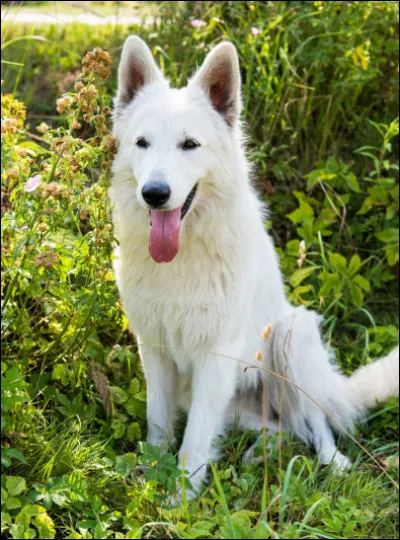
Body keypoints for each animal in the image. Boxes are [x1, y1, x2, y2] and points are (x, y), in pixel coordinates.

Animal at [110, 37, 400, 502]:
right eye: (142, 143)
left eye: (189, 145)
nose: (154, 193)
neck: (183, 257)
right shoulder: (153, 350)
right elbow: (159, 426)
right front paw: (150, 477)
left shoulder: (215, 357)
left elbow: (193, 443)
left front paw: (179, 502)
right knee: (282, 428)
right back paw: (256, 454)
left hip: (293, 337)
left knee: (313, 422)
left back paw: (333, 462)